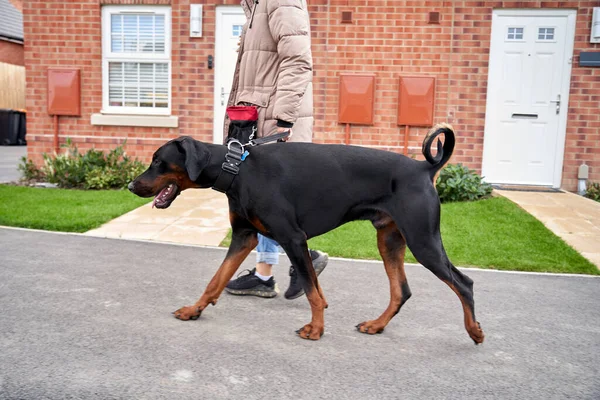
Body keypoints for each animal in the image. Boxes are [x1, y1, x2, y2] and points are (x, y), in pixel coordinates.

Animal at [129, 125, 486, 344]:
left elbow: (314, 291)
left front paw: (316, 329)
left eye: (158, 161)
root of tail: (424, 168)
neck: (238, 169)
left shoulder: (293, 238)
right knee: (402, 291)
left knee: (464, 283)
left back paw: (475, 331)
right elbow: (215, 279)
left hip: (422, 240)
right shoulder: (244, 236)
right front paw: (194, 310)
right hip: (389, 240)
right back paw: (376, 325)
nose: (131, 185)